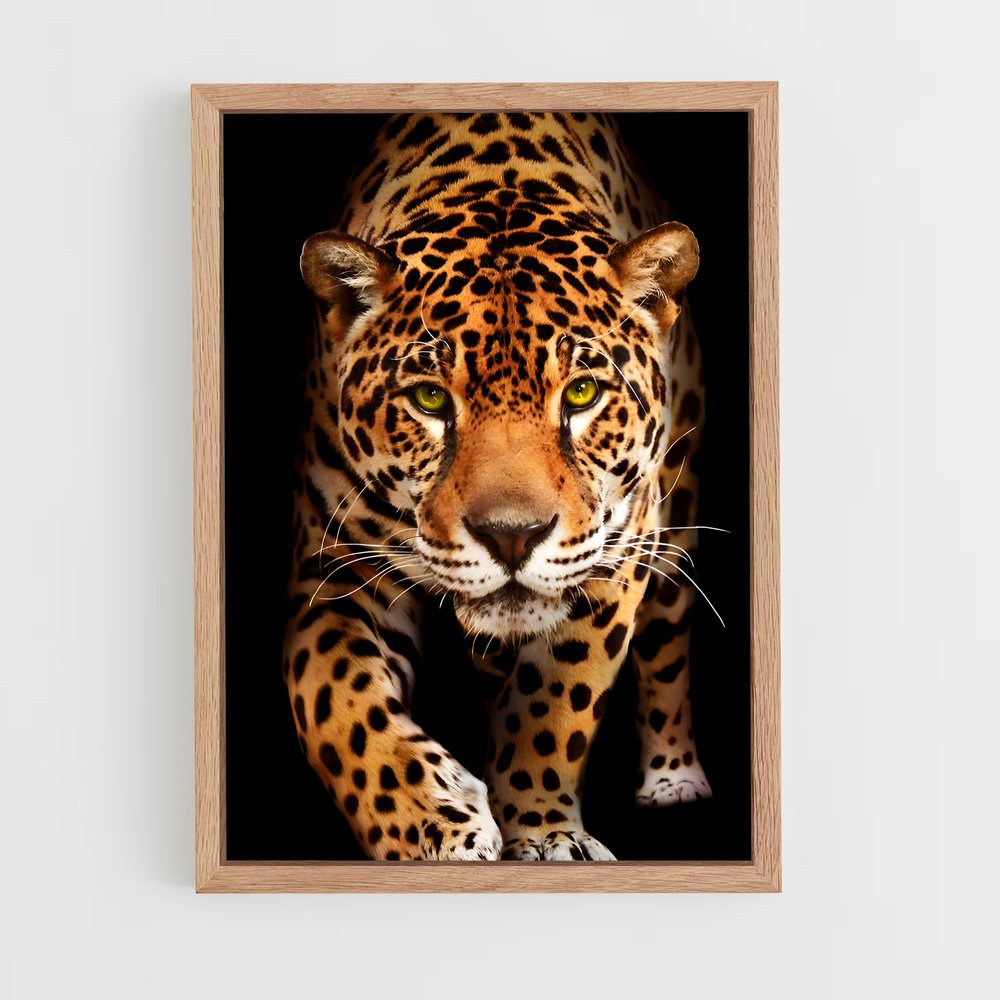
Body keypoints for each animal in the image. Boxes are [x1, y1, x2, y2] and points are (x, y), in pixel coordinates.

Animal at [283, 111, 714, 861]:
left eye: (582, 393)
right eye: (429, 398)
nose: (511, 538)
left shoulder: (615, 552)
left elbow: (555, 702)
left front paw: (544, 834)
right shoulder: (334, 571)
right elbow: (340, 705)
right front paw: (436, 824)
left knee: (668, 641)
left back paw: (673, 778)